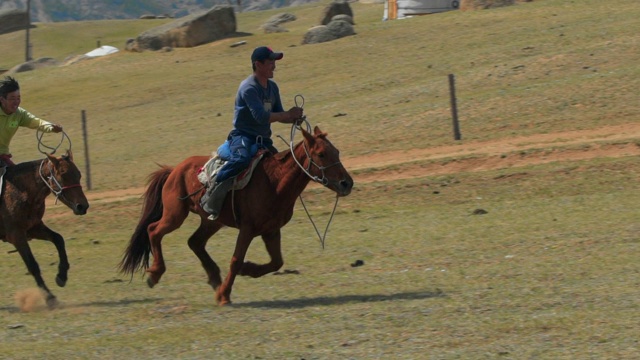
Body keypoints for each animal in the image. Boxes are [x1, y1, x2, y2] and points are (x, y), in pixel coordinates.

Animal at [0, 150, 89, 308]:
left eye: (78, 174)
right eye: (63, 174)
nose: (82, 206)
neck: (19, 190)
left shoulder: (33, 228)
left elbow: (58, 239)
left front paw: (61, 276)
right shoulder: (16, 235)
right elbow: (32, 265)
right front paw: (49, 297)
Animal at [120, 125, 356, 306]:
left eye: (337, 152)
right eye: (321, 154)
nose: (347, 183)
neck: (275, 181)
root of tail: (174, 170)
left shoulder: (271, 230)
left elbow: (276, 262)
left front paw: (247, 269)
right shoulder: (248, 229)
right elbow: (235, 260)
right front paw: (225, 295)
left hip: (212, 221)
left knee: (194, 242)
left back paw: (214, 277)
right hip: (175, 215)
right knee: (154, 230)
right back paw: (155, 273)